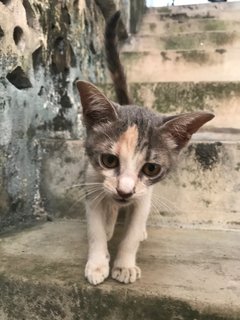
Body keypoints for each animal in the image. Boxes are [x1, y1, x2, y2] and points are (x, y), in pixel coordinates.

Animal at [76, 10, 214, 284]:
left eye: (151, 168)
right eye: (109, 160)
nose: (125, 191)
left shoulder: (144, 195)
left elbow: (132, 230)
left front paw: (124, 265)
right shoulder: (92, 180)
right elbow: (95, 228)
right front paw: (98, 263)